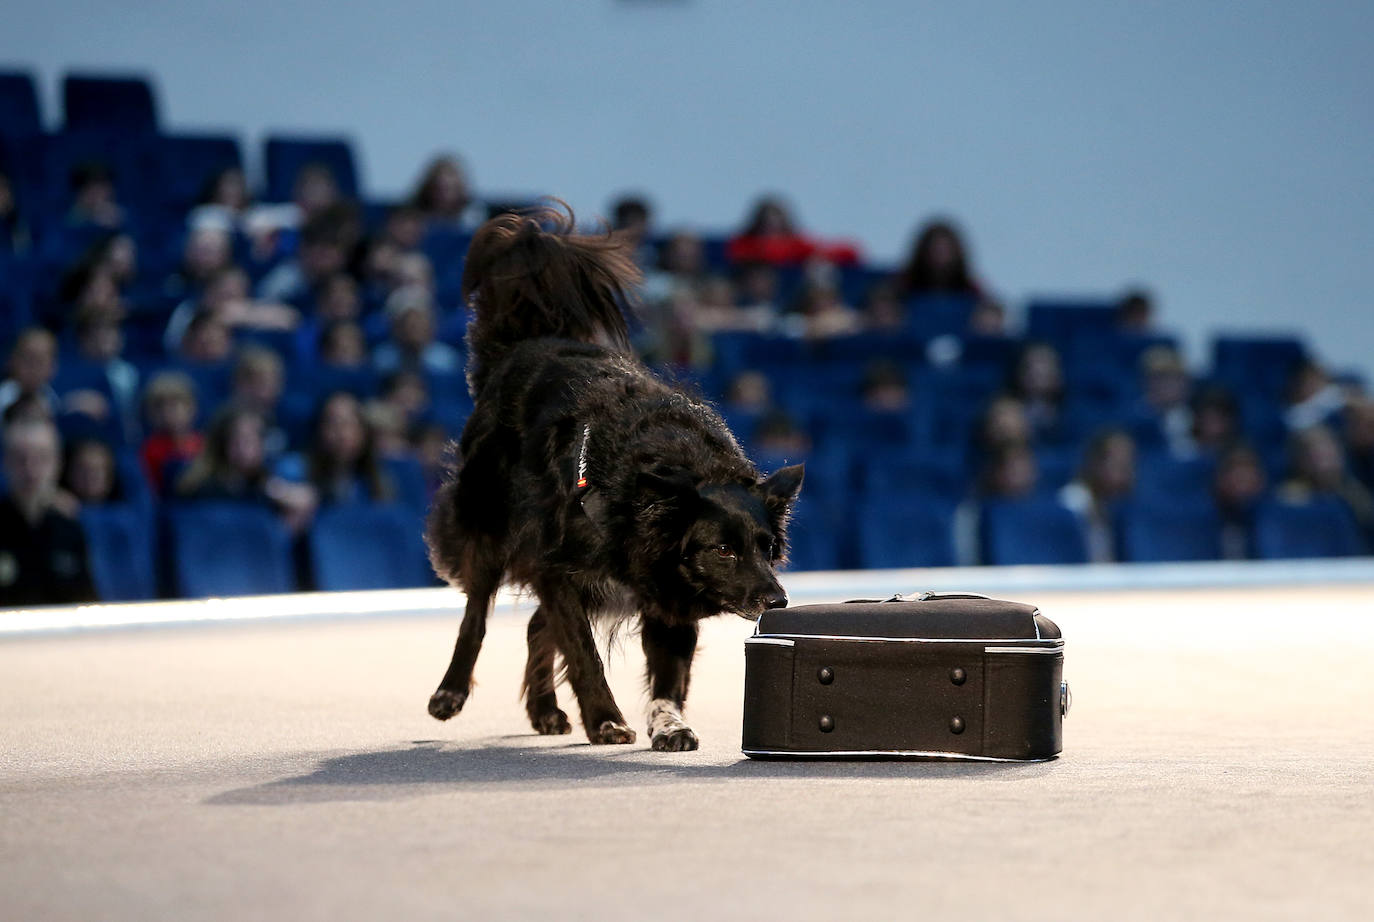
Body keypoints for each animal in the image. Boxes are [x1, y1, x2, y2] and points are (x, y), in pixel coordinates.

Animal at [423, 206, 802, 752]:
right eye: (723, 551)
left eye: (768, 548)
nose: (778, 600)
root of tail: (523, 345)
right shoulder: (556, 567)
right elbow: (584, 652)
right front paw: (604, 720)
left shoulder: (667, 591)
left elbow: (669, 673)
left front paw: (669, 725)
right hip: (490, 524)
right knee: (477, 616)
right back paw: (450, 692)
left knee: (536, 626)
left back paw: (545, 710)